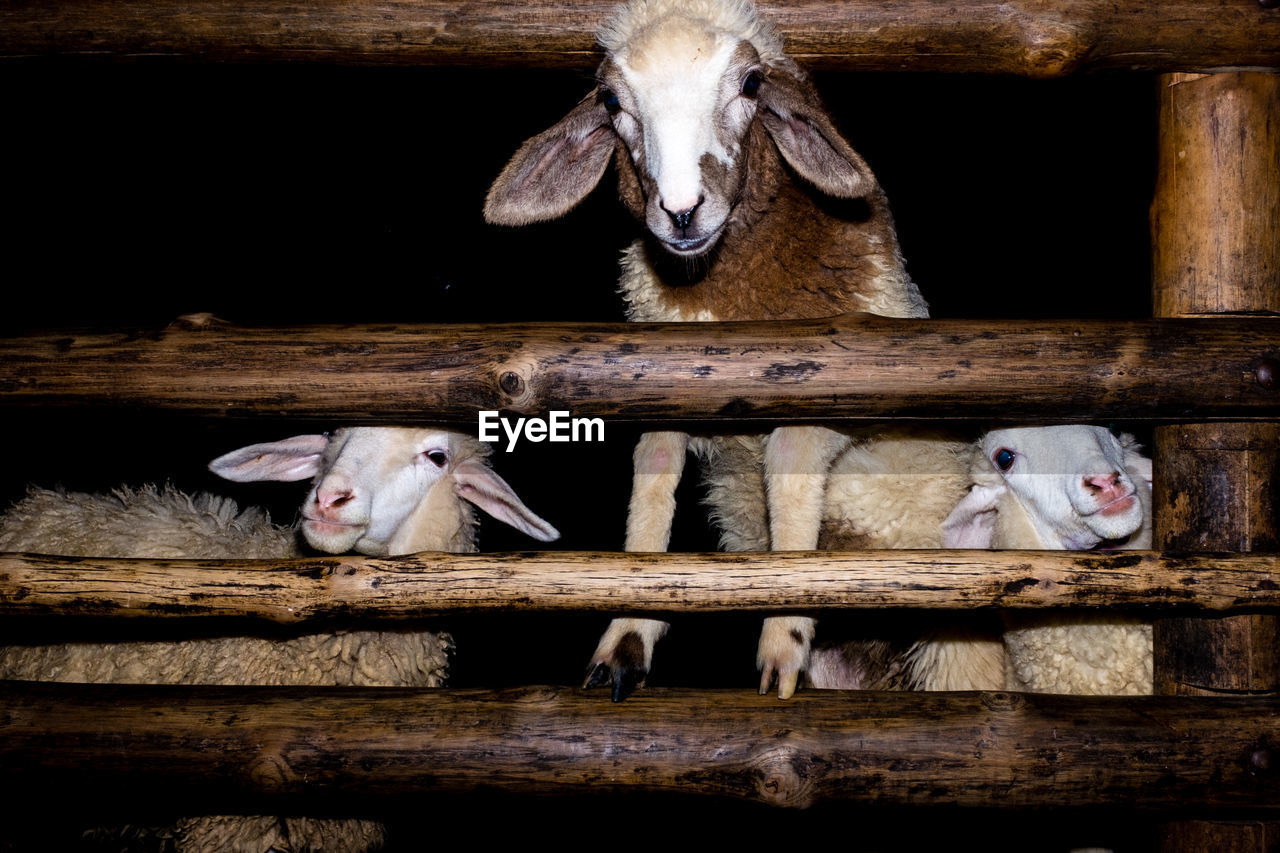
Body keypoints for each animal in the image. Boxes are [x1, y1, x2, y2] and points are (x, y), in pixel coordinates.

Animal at [486, 0, 931, 696]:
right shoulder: (670, 391)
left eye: (751, 84)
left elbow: (790, 463)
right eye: (611, 100)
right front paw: (627, 635)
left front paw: (783, 637)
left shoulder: (856, 391)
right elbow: (652, 478)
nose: (681, 211)